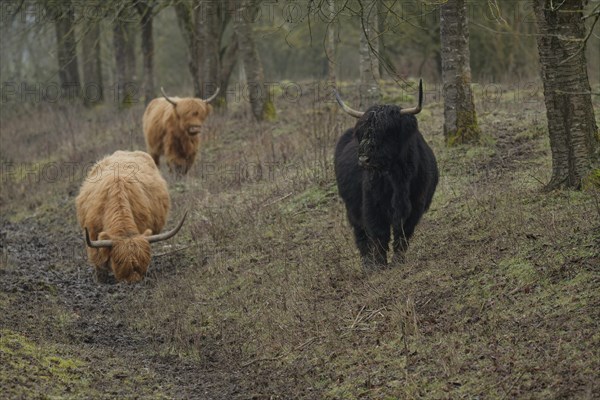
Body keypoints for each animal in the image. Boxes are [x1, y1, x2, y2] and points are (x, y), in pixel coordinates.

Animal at [76, 150, 186, 284]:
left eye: (142, 263)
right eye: (119, 262)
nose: (134, 281)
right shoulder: (92, 234)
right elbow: (98, 259)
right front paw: (101, 279)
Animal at [336, 79, 438, 268]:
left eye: (386, 131)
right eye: (362, 133)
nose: (364, 159)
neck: (398, 177)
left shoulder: (416, 205)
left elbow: (403, 232)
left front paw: (398, 259)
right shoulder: (372, 205)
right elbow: (378, 233)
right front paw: (379, 264)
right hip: (351, 206)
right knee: (360, 233)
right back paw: (367, 262)